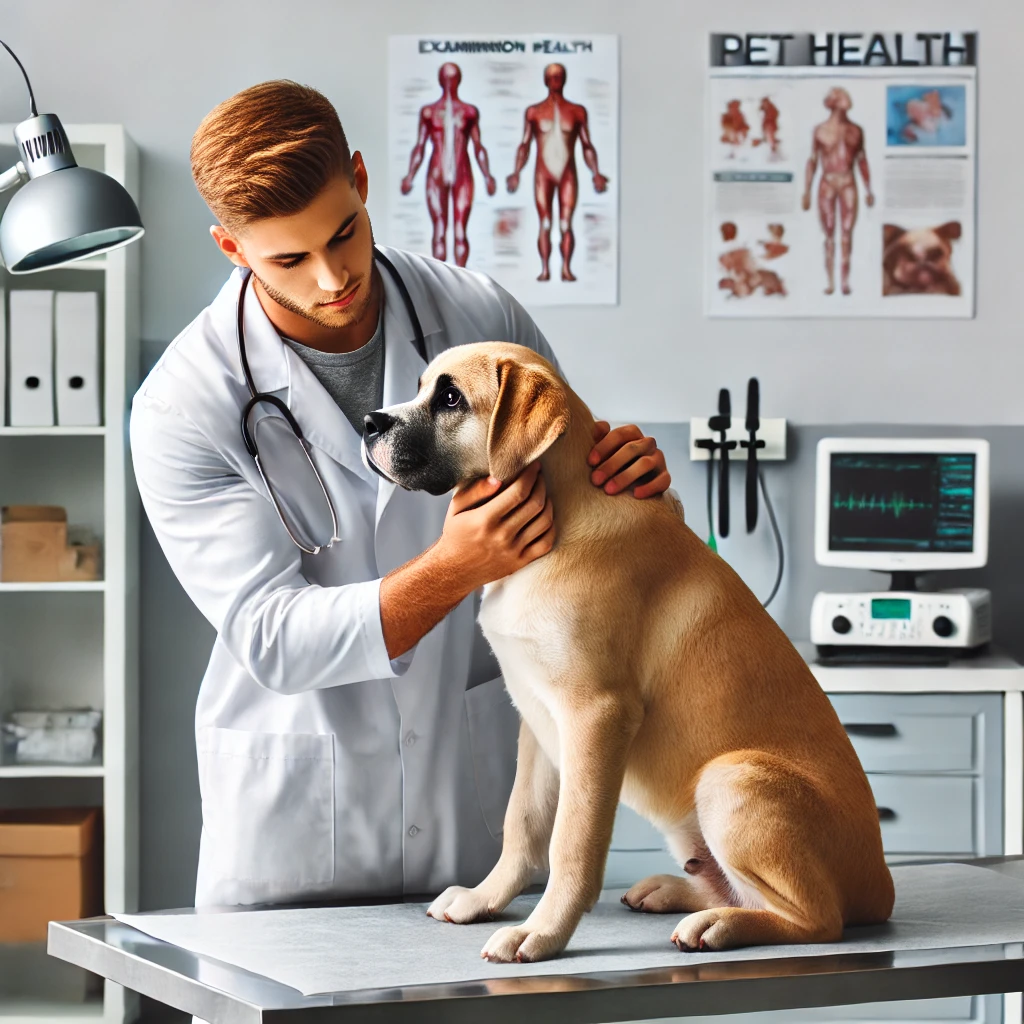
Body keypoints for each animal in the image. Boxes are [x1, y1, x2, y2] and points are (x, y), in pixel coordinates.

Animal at [364, 348, 892, 962]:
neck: (564, 518)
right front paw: (484, 898)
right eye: (422, 385)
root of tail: (882, 888)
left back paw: (718, 924)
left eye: (450, 398)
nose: (369, 423)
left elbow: (572, 841)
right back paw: (676, 892)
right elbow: (523, 821)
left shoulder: (597, 714)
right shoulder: (538, 719)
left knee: (817, 919)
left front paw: (541, 932)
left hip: (732, 778)